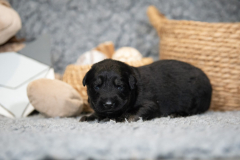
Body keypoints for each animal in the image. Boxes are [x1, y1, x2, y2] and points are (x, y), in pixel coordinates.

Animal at [79, 59, 211, 122]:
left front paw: (122, 118)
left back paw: (177, 114)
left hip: (196, 99)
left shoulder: (150, 104)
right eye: (96, 87)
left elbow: (137, 112)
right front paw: (90, 116)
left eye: (120, 87)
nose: (108, 104)